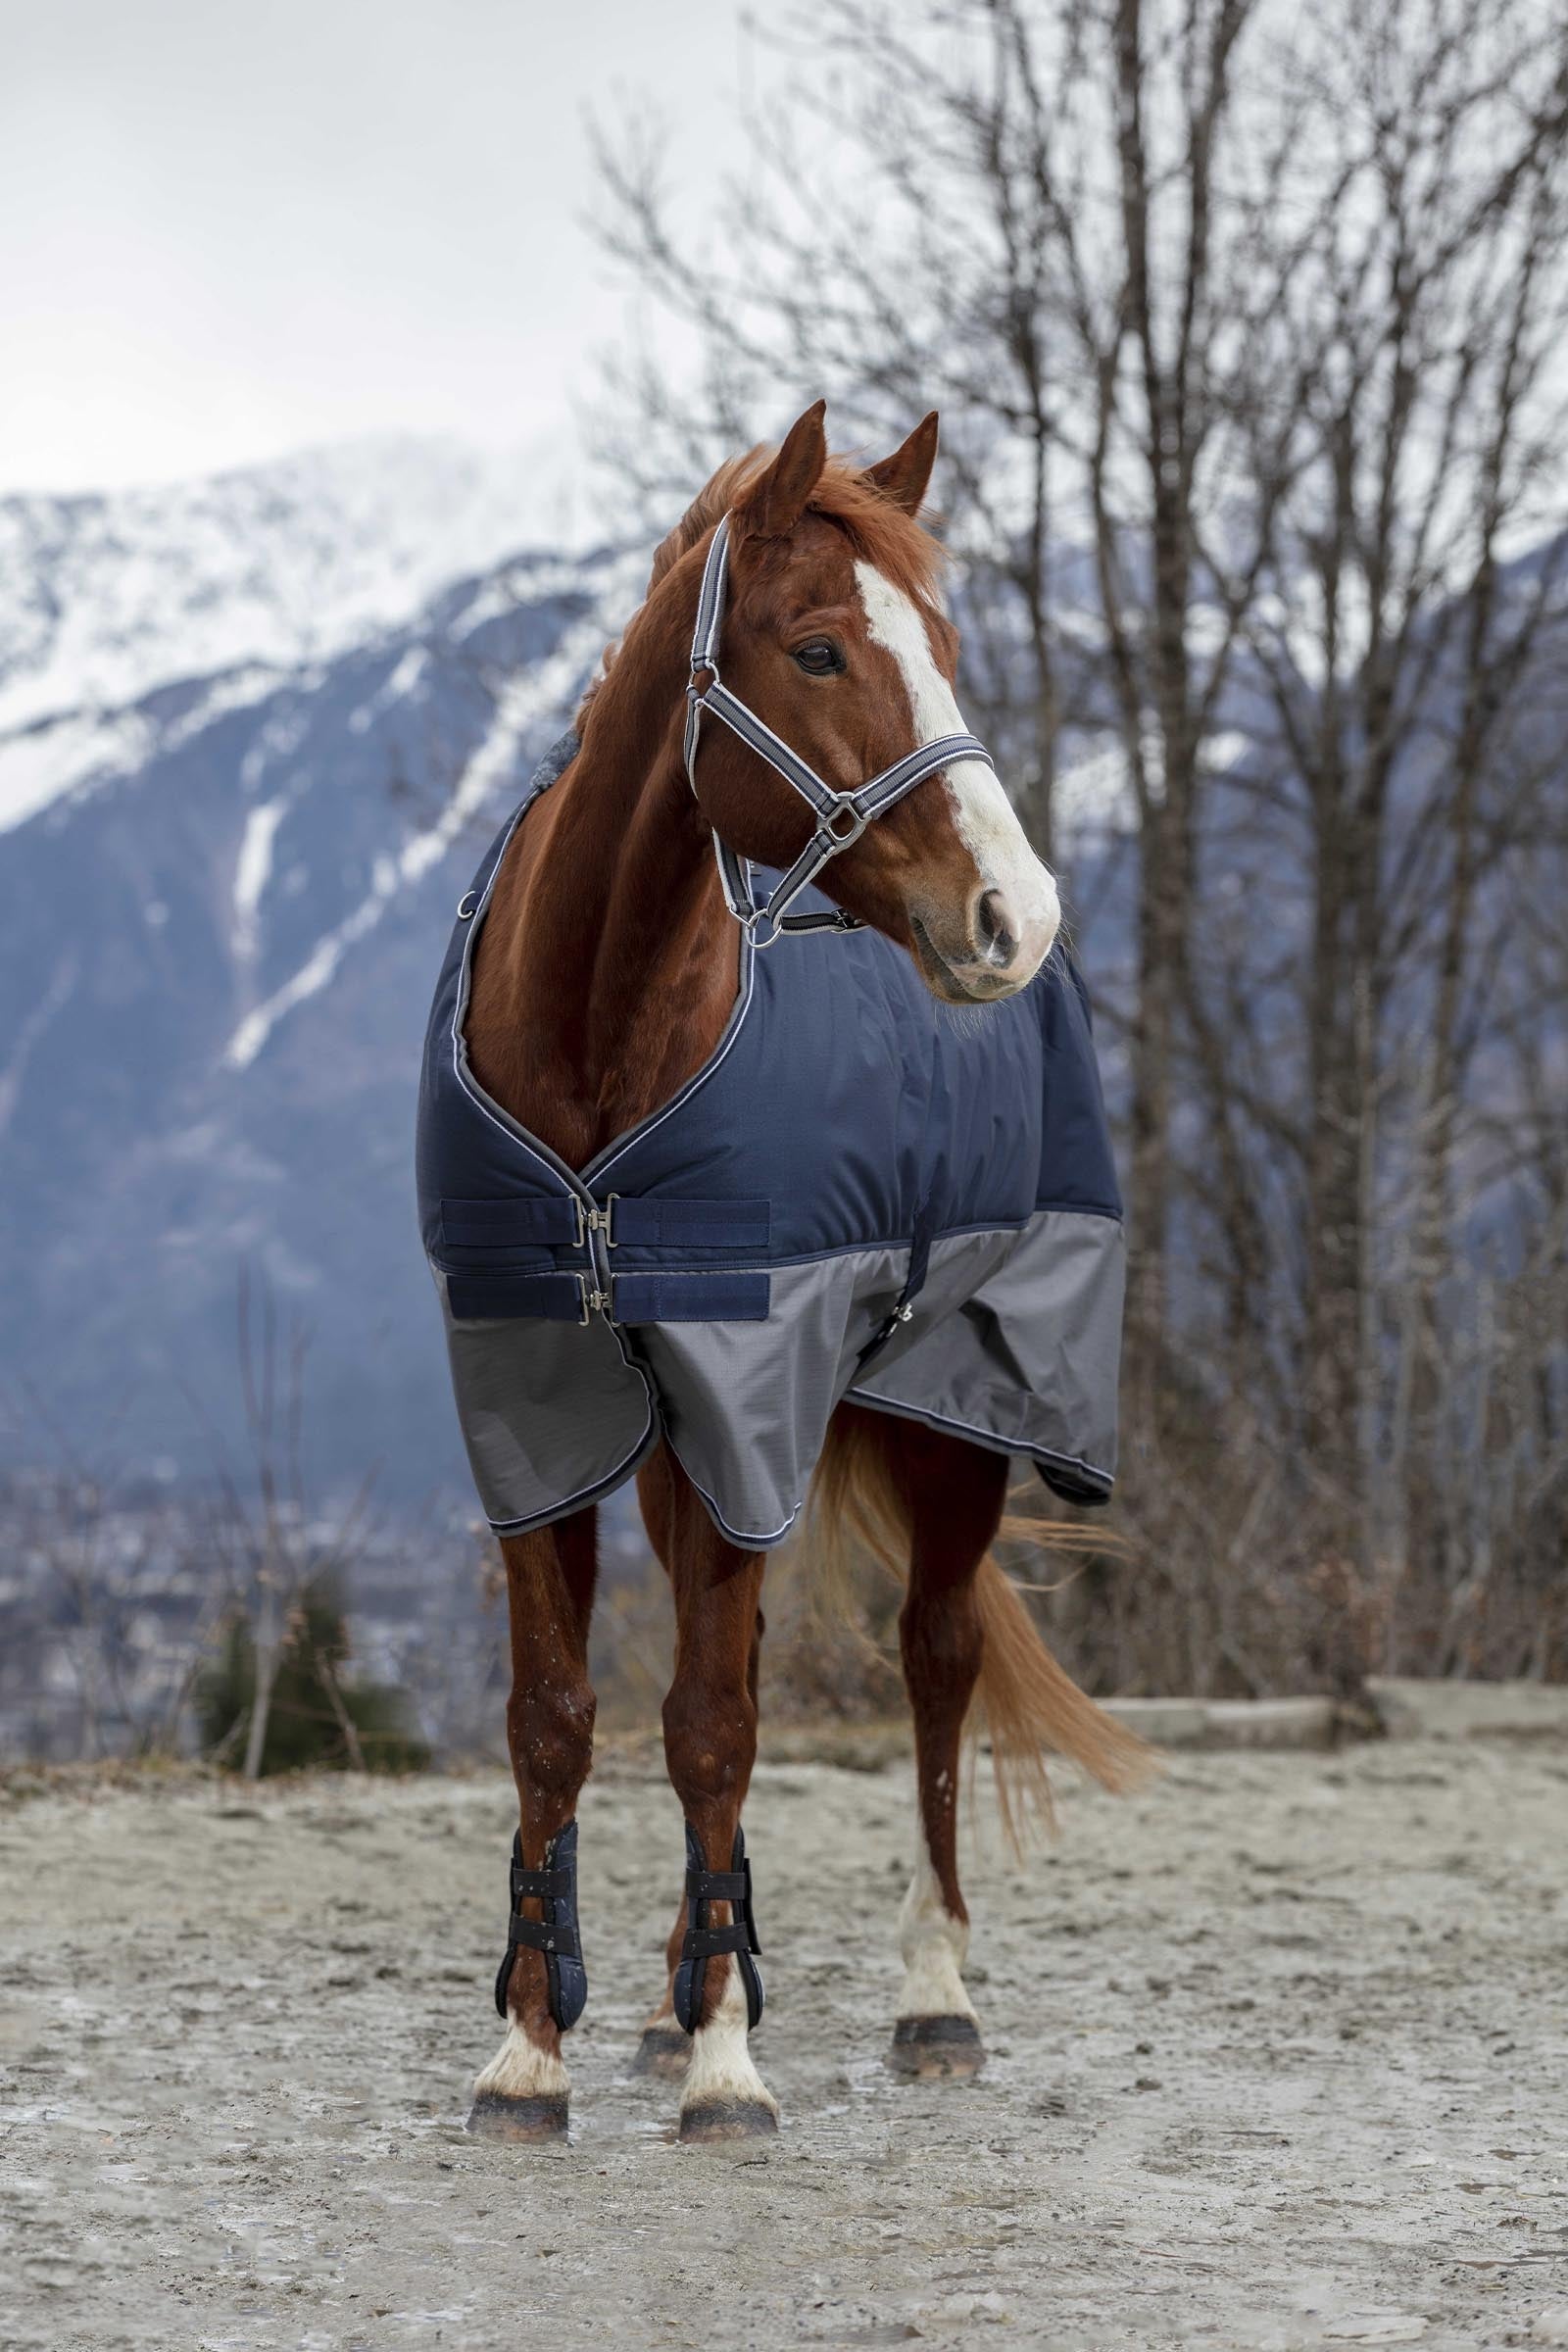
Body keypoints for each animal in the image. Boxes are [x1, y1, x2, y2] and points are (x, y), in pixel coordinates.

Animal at [435, 401, 1146, 2144]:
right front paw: (538, 2046)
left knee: (938, 1662)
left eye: (941, 647)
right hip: (686, 1452)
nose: (1012, 912)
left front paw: (727, 2067)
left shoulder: (748, 1397)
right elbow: (562, 1723)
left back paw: (933, 1995)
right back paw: (673, 1987)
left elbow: (711, 1727)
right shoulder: (531, 1406)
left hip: (963, 1412)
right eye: (819, 647)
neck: (596, 1059)